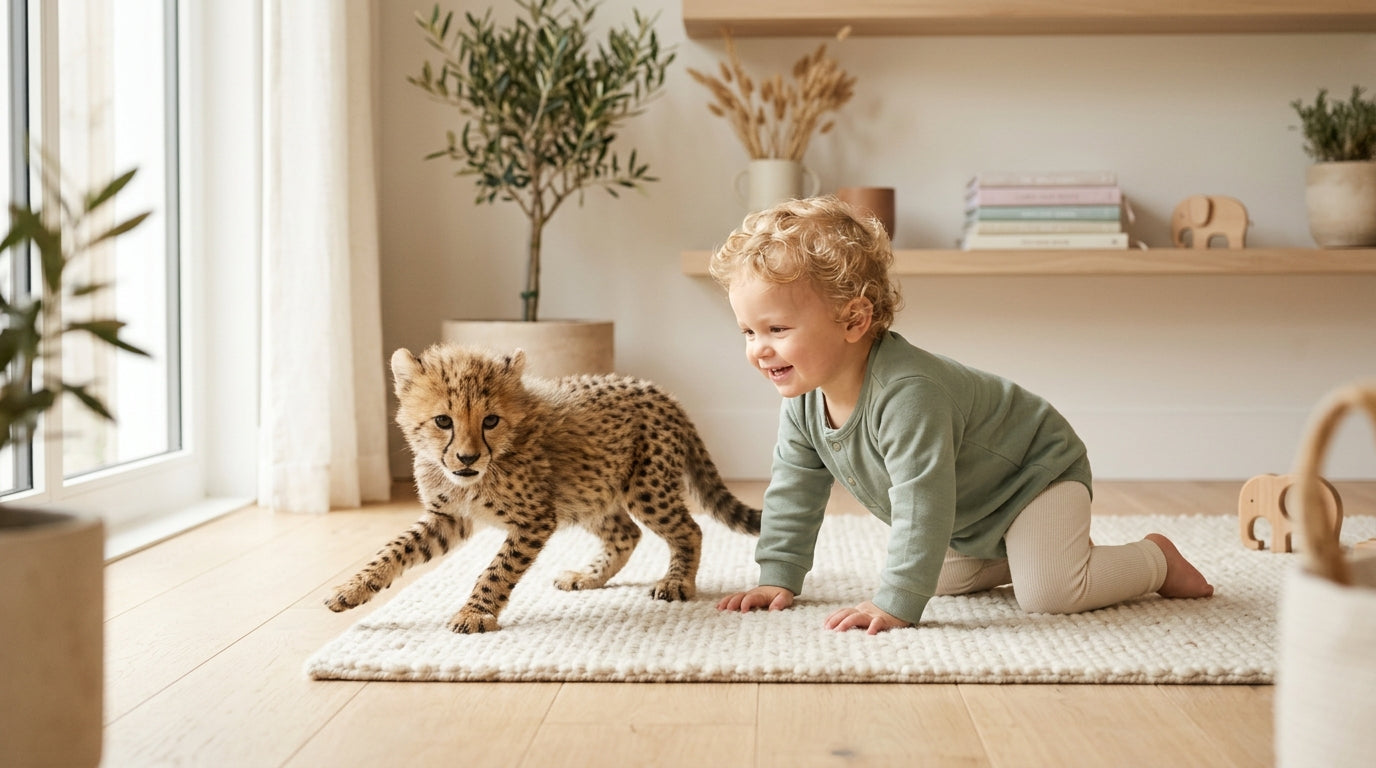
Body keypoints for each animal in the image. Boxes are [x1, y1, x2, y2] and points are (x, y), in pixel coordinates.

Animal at [325, 343, 761, 633]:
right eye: (443, 421)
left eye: (490, 420)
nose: (466, 458)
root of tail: (663, 394)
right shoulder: (448, 518)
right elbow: (394, 550)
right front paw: (351, 588)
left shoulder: (534, 519)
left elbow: (497, 570)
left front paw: (475, 613)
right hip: (588, 492)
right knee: (626, 533)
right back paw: (588, 577)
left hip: (645, 490)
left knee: (690, 529)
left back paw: (676, 582)